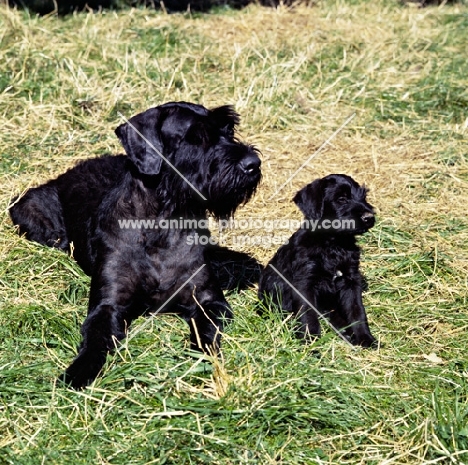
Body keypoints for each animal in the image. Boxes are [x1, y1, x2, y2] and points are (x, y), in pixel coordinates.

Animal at [10, 101, 264, 388]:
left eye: (228, 129)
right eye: (195, 137)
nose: (253, 163)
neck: (162, 225)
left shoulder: (209, 301)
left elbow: (205, 331)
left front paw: (201, 359)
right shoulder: (107, 306)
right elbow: (95, 339)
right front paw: (78, 373)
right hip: (28, 213)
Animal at [258, 174, 378, 348]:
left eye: (364, 197)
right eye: (341, 199)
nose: (369, 217)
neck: (333, 244)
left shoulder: (351, 280)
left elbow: (357, 310)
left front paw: (365, 337)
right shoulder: (304, 283)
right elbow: (308, 315)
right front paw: (311, 343)